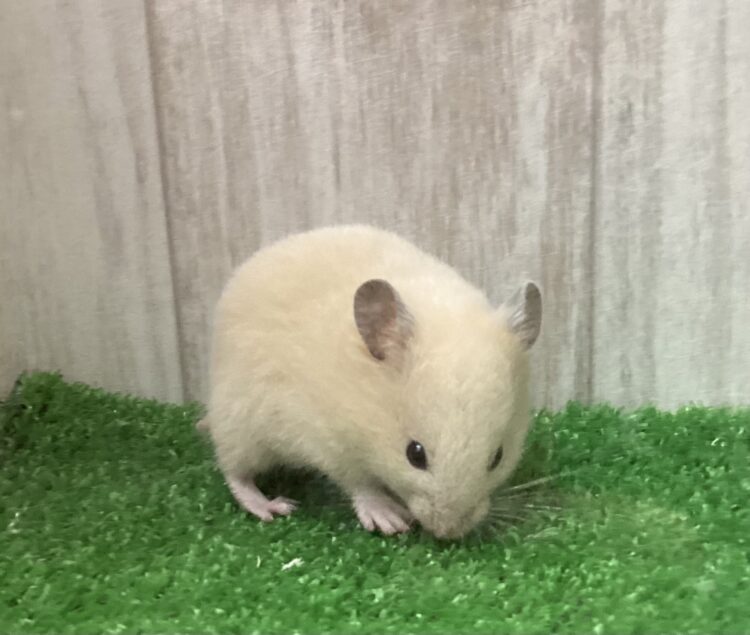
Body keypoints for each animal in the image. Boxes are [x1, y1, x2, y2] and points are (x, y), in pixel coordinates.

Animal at [202, 224, 542, 539]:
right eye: (415, 454)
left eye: (498, 457)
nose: (447, 534)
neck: (365, 404)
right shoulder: (328, 440)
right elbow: (359, 483)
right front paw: (391, 522)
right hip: (241, 422)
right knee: (233, 470)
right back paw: (271, 507)